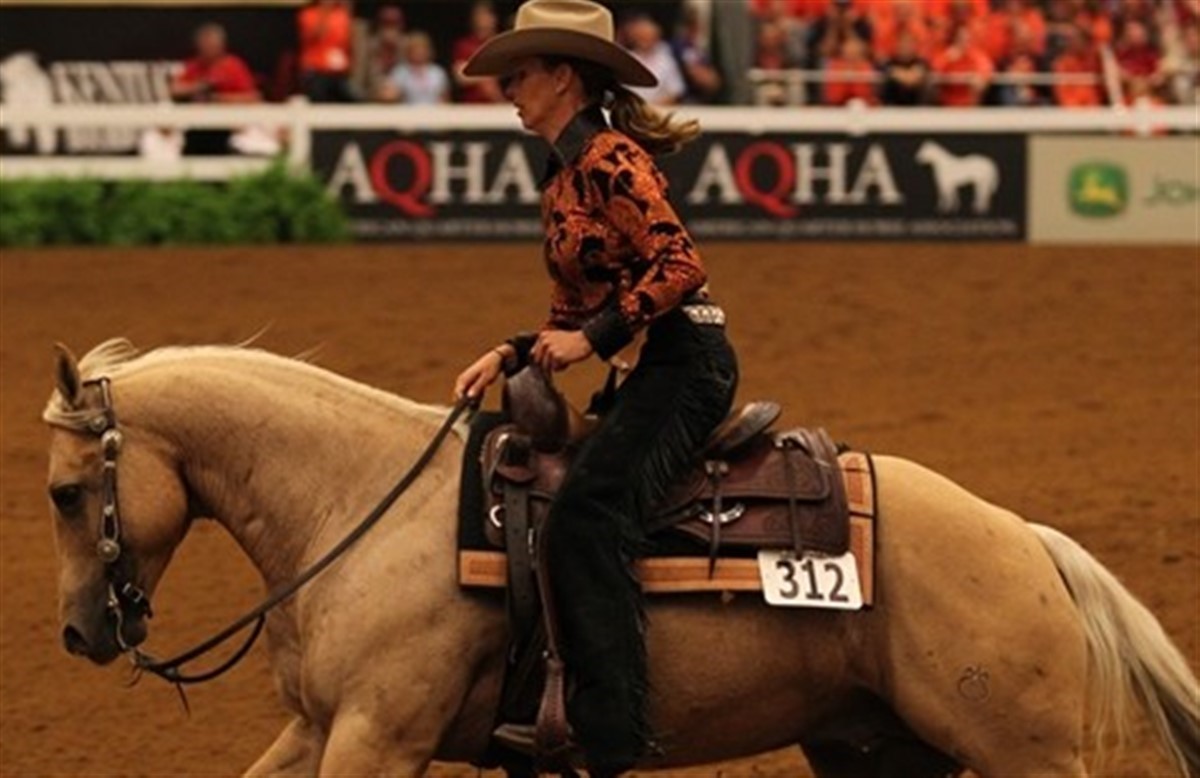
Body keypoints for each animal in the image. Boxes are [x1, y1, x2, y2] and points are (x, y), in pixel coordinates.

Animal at [43, 339, 1199, 777]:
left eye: (63, 493)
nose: (78, 631)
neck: (354, 501)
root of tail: (1026, 540)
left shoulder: (378, 735)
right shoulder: (319, 726)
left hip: (1024, 752)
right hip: (876, 749)